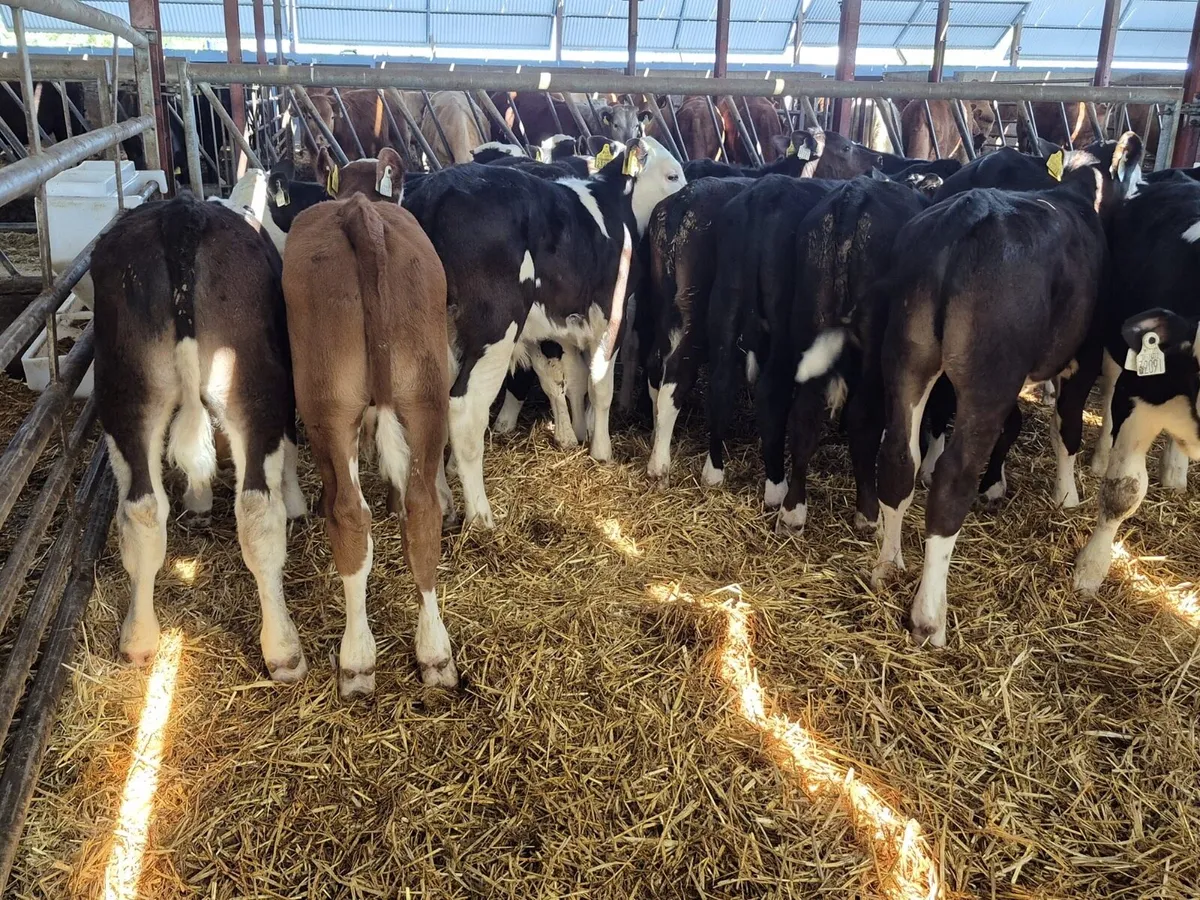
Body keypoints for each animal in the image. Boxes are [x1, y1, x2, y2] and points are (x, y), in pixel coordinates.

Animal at [92, 192, 308, 679]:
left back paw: (138, 638)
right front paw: (296, 503)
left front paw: (198, 501)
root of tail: (181, 213)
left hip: (126, 393)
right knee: (257, 513)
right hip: (256, 388)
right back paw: (284, 649)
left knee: (142, 510)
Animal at [282, 148, 458, 696]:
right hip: (427, 395)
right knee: (422, 511)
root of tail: (362, 213)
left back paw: (357, 660)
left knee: (349, 516)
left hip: (327, 406)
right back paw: (435, 654)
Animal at [402, 137, 685, 527]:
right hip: (496, 325)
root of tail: (435, 191)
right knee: (463, 409)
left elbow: (573, 379)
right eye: (672, 174)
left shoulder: (559, 326)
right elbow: (600, 387)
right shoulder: (609, 316)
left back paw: (444, 502)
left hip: (438, 333)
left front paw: (578, 434)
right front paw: (601, 450)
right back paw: (481, 516)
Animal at [870, 134, 1144, 648]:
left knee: (899, 456)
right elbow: (1067, 427)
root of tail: (966, 219)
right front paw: (1066, 495)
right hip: (989, 375)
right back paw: (929, 616)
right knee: (953, 478)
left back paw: (887, 565)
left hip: (906, 355)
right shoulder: (1084, 355)